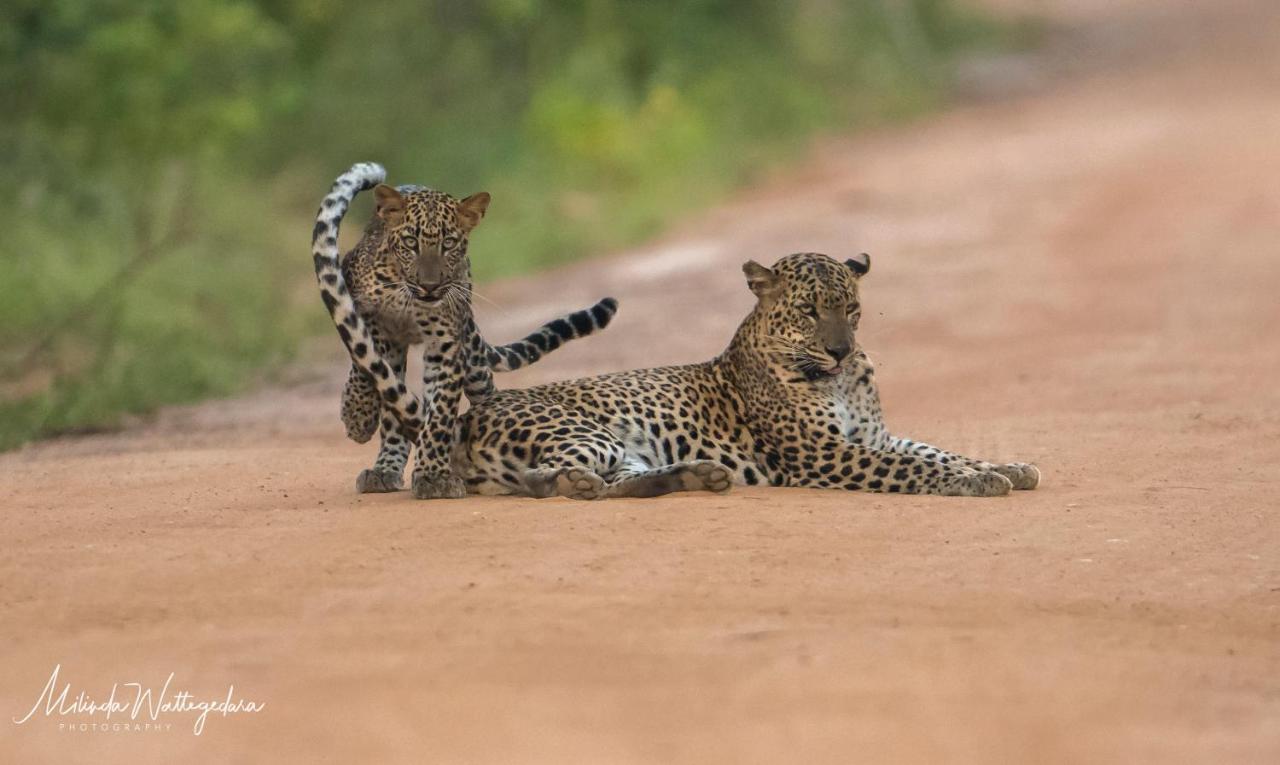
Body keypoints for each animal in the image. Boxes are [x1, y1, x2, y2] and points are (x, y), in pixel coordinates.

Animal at [312, 161, 616, 498]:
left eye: (449, 244)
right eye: (410, 243)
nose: (429, 286)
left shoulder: (445, 345)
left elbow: (440, 413)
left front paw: (434, 475)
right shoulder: (372, 321)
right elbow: (363, 367)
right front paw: (358, 415)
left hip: (474, 362)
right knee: (392, 409)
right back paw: (384, 468)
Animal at [453, 254, 1039, 501]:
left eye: (850, 309)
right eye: (809, 311)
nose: (841, 350)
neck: (841, 380)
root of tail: (466, 419)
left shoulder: (874, 436)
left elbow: (936, 450)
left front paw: (1005, 466)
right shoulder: (823, 453)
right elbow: (912, 466)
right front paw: (974, 482)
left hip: (627, 451)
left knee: (620, 484)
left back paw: (697, 476)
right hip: (587, 433)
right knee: (547, 479)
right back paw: (575, 485)